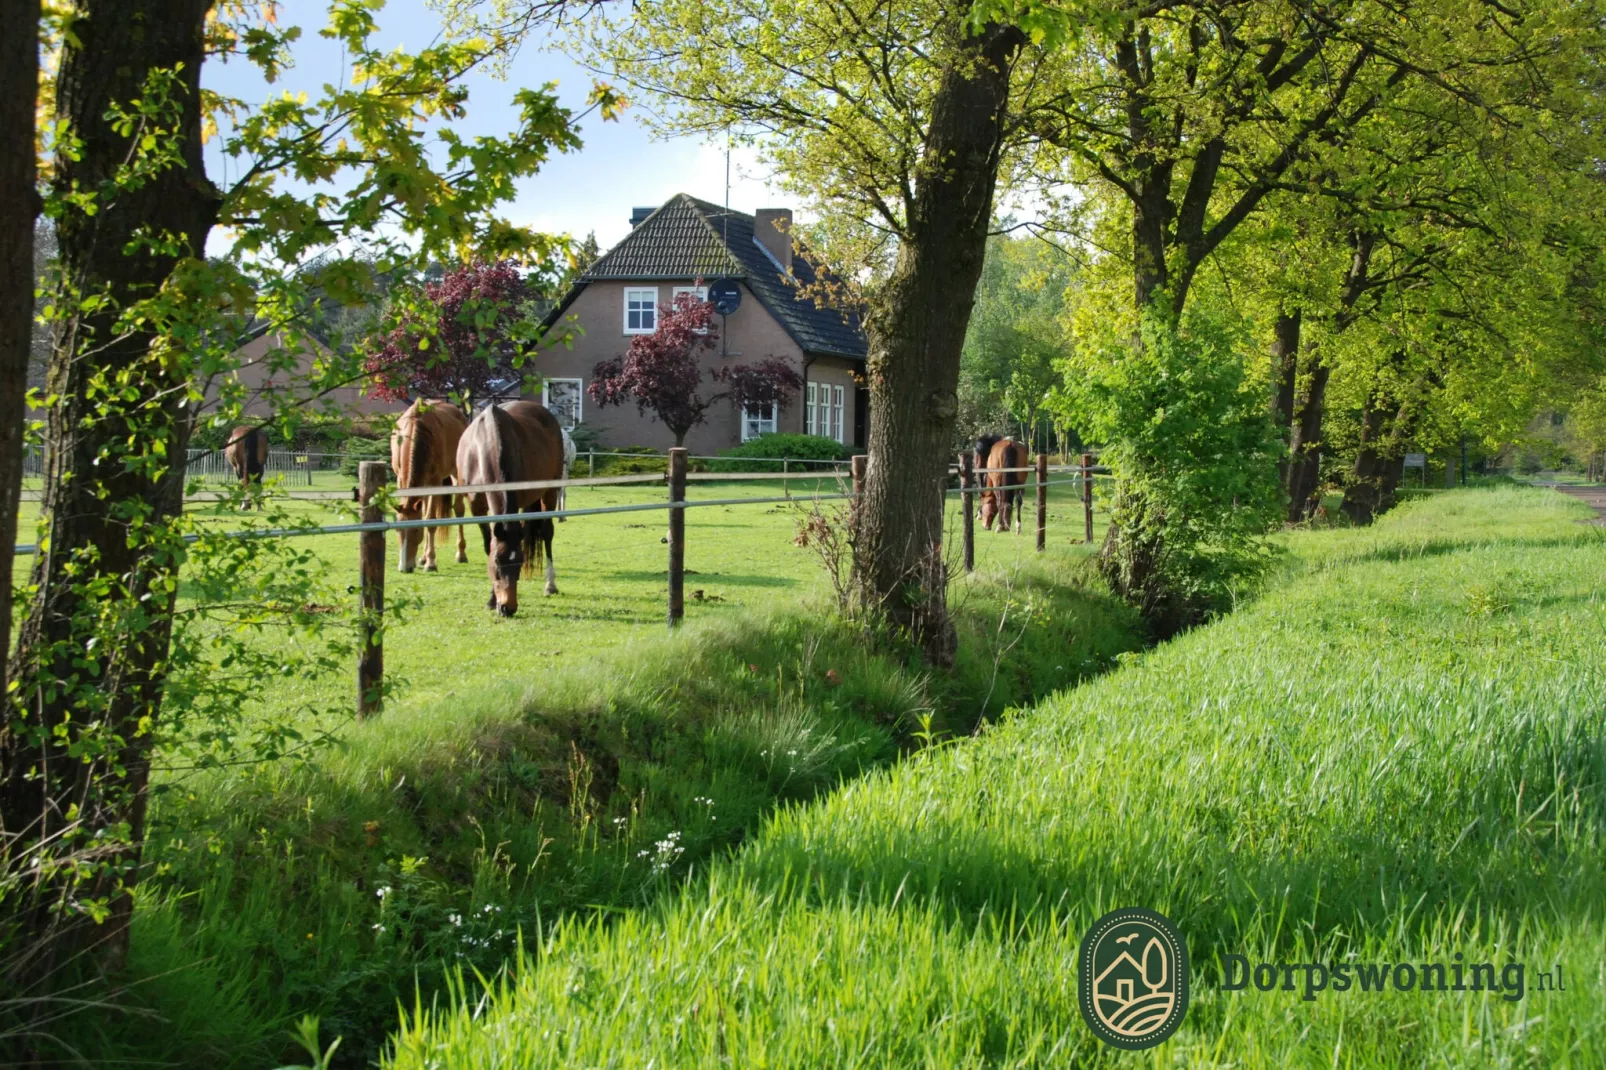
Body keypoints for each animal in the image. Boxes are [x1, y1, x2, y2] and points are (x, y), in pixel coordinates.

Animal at [390, 395, 468, 571]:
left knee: (459, 509)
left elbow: (430, 522)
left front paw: (431, 563)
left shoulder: (435, 482)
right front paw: (425, 559)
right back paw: (423, 557)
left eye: (416, 530)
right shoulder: (400, 479)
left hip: (455, 474)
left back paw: (460, 554)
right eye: (397, 530)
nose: (404, 567)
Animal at [456, 400, 568, 616]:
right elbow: (488, 545)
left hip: (550, 491)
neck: (486, 444)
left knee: (547, 532)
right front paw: (491, 599)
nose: (508, 608)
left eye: (519, 563)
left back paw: (550, 584)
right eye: (498, 562)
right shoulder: (476, 507)